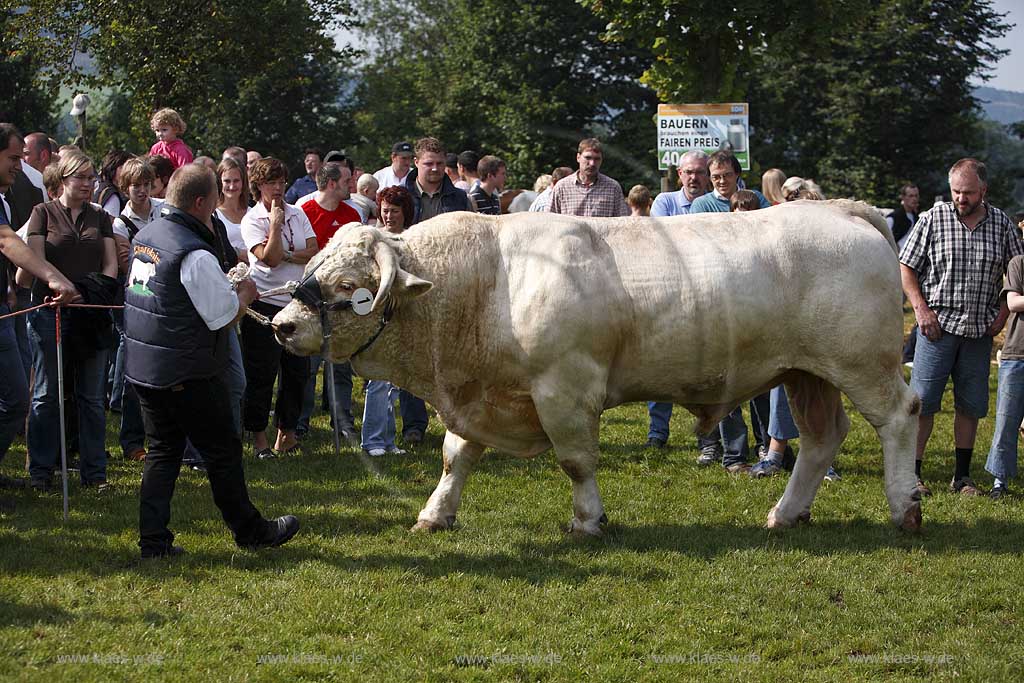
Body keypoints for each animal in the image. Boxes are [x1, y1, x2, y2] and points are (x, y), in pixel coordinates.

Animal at [276, 200, 925, 536]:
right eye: (315, 265)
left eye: (348, 285)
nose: (281, 325)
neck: (485, 284)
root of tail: (841, 209)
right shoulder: (479, 396)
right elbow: (455, 457)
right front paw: (435, 515)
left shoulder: (565, 389)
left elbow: (575, 461)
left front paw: (588, 520)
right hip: (804, 374)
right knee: (821, 439)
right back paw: (785, 514)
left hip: (861, 363)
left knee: (900, 416)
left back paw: (905, 508)